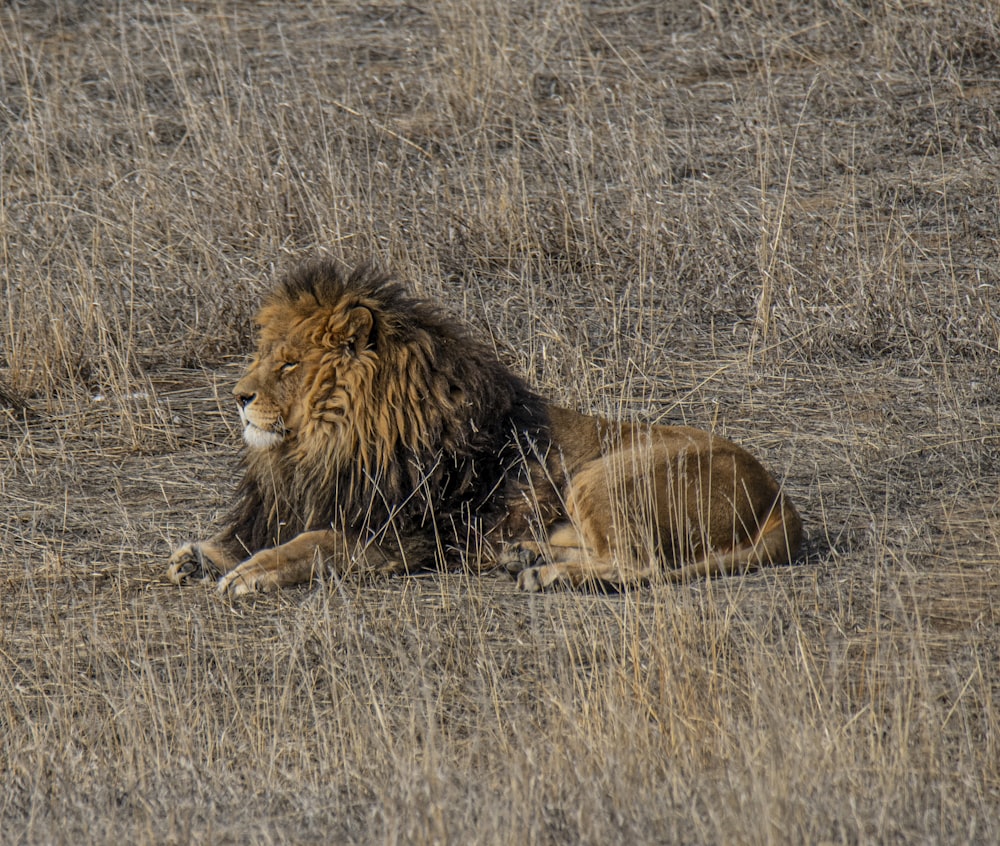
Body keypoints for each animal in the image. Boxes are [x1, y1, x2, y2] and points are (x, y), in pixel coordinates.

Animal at [166, 260, 804, 596]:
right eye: (263, 356)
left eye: (290, 365)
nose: (238, 397)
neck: (324, 443)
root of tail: (781, 501)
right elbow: (255, 535)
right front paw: (199, 555)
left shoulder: (402, 535)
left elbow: (311, 543)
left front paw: (251, 572)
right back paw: (521, 555)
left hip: (603, 473)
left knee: (639, 564)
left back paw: (542, 574)